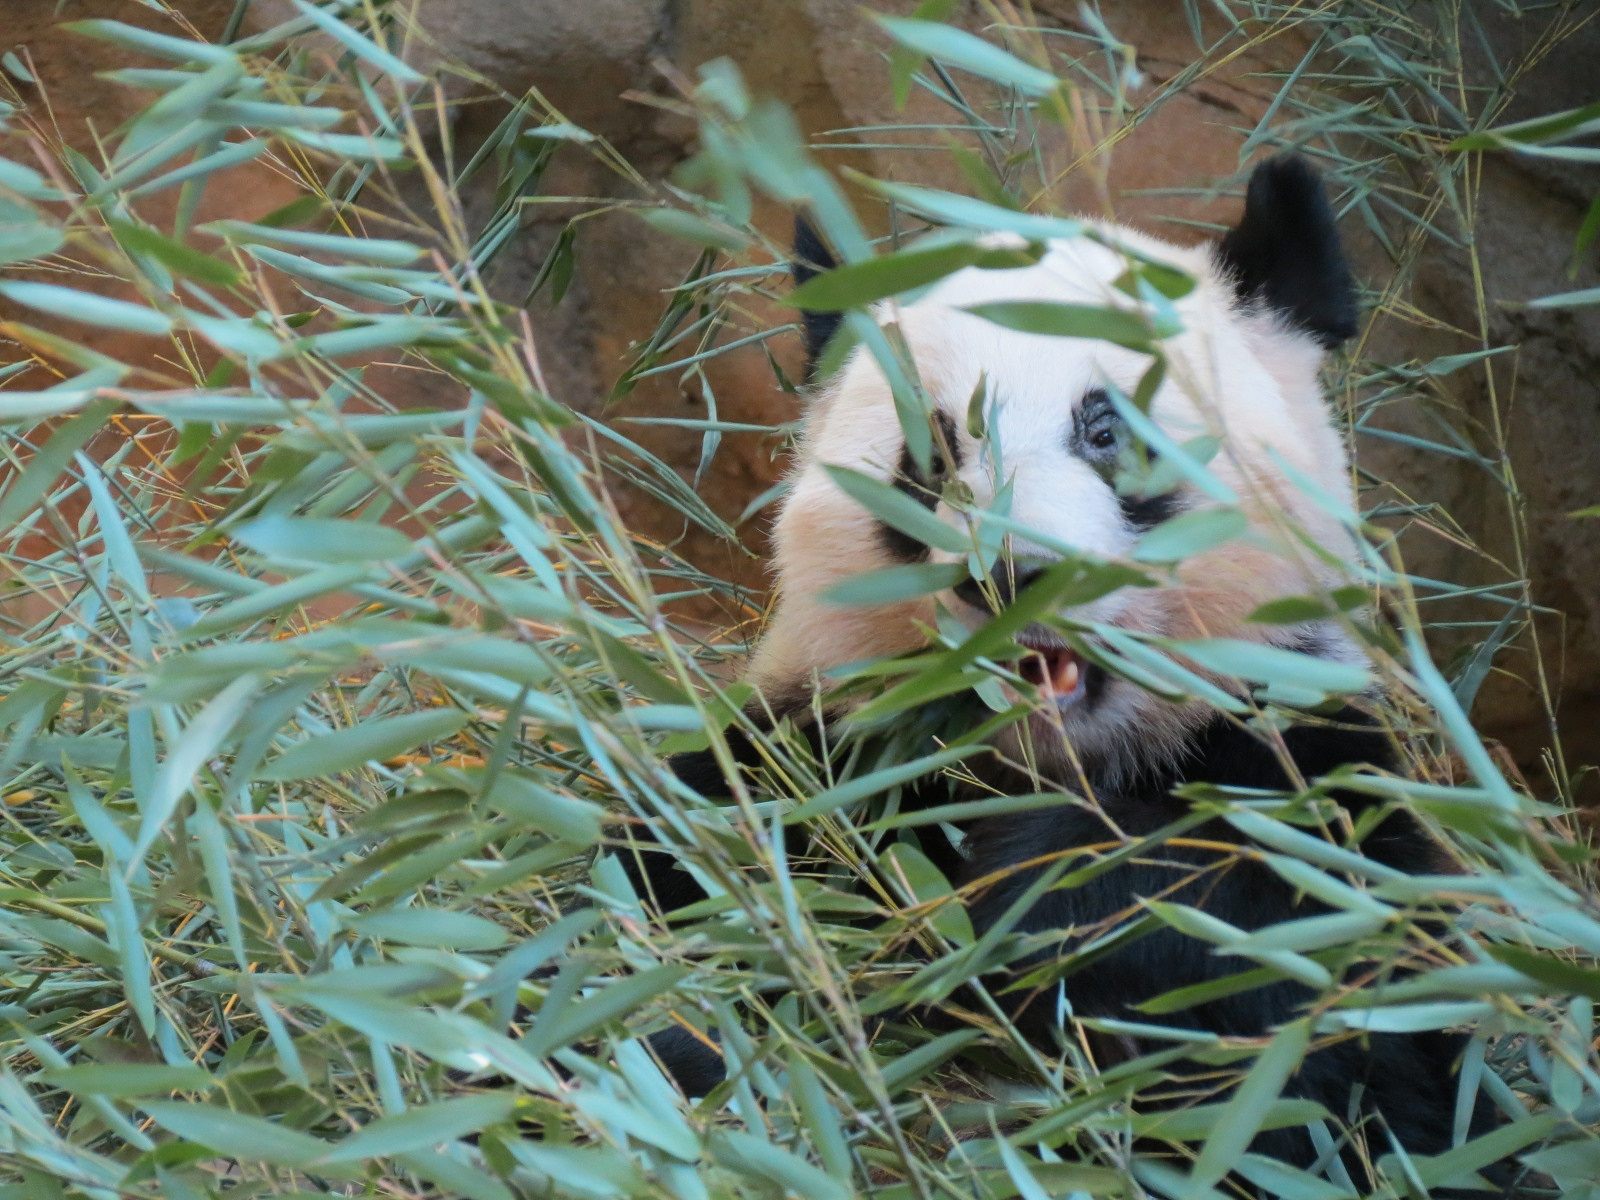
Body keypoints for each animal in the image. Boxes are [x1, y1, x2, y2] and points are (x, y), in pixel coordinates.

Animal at [619, 156, 1505, 1194]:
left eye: (1106, 429)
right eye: (933, 450)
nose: (1012, 573)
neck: (1043, 762)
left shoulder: (1297, 772)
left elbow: (1311, 1011)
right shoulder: (802, 764)